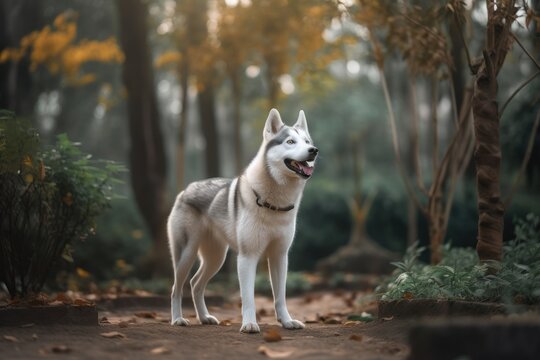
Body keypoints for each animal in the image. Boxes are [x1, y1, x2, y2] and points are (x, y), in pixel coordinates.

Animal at [168, 108, 316, 334]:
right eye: (290, 141)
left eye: (307, 141)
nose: (313, 150)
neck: (274, 204)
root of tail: (186, 190)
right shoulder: (248, 257)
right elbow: (248, 298)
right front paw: (249, 324)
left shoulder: (280, 256)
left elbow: (280, 297)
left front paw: (287, 321)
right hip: (186, 255)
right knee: (176, 288)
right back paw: (177, 319)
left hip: (216, 258)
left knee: (195, 284)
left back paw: (205, 318)